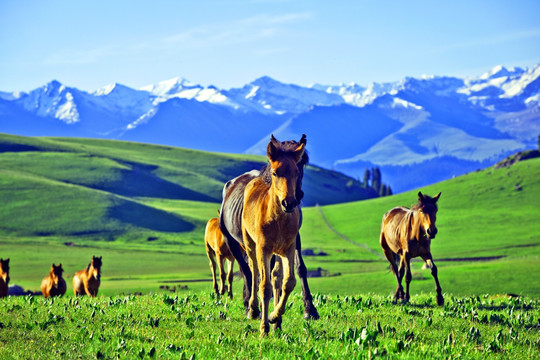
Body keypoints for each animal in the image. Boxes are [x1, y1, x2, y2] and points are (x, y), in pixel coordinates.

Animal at [243, 134, 306, 334]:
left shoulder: (288, 248)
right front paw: (264, 328)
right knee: (255, 270)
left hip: (277, 253)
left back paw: (276, 322)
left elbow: (289, 282)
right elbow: (265, 286)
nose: (289, 202)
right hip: (251, 244)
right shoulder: (264, 248)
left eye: (296, 172)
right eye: (276, 172)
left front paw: (274, 316)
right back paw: (253, 309)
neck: (278, 219)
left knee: (276, 276)